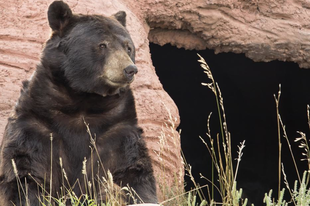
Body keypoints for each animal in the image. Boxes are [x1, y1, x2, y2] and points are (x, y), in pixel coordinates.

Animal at [0, 0, 157, 205]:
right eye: (102, 45)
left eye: (128, 47)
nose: (130, 69)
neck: (82, 100)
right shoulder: (37, 124)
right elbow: (25, 170)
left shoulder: (117, 128)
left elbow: (133, 169)